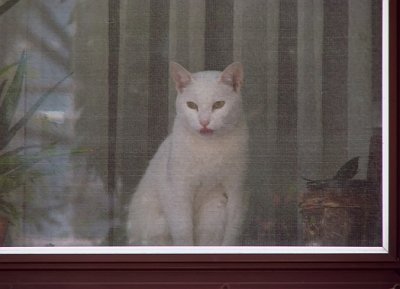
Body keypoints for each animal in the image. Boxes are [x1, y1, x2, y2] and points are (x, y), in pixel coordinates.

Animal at [126, 62, 248, 244]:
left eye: (218, 105)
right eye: (192, 105)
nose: (204, 122)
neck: (208, 149)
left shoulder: (236, 190)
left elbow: (231, 234)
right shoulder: (178, 191)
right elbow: (183, 233)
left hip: (215, 211)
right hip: (157, 224)